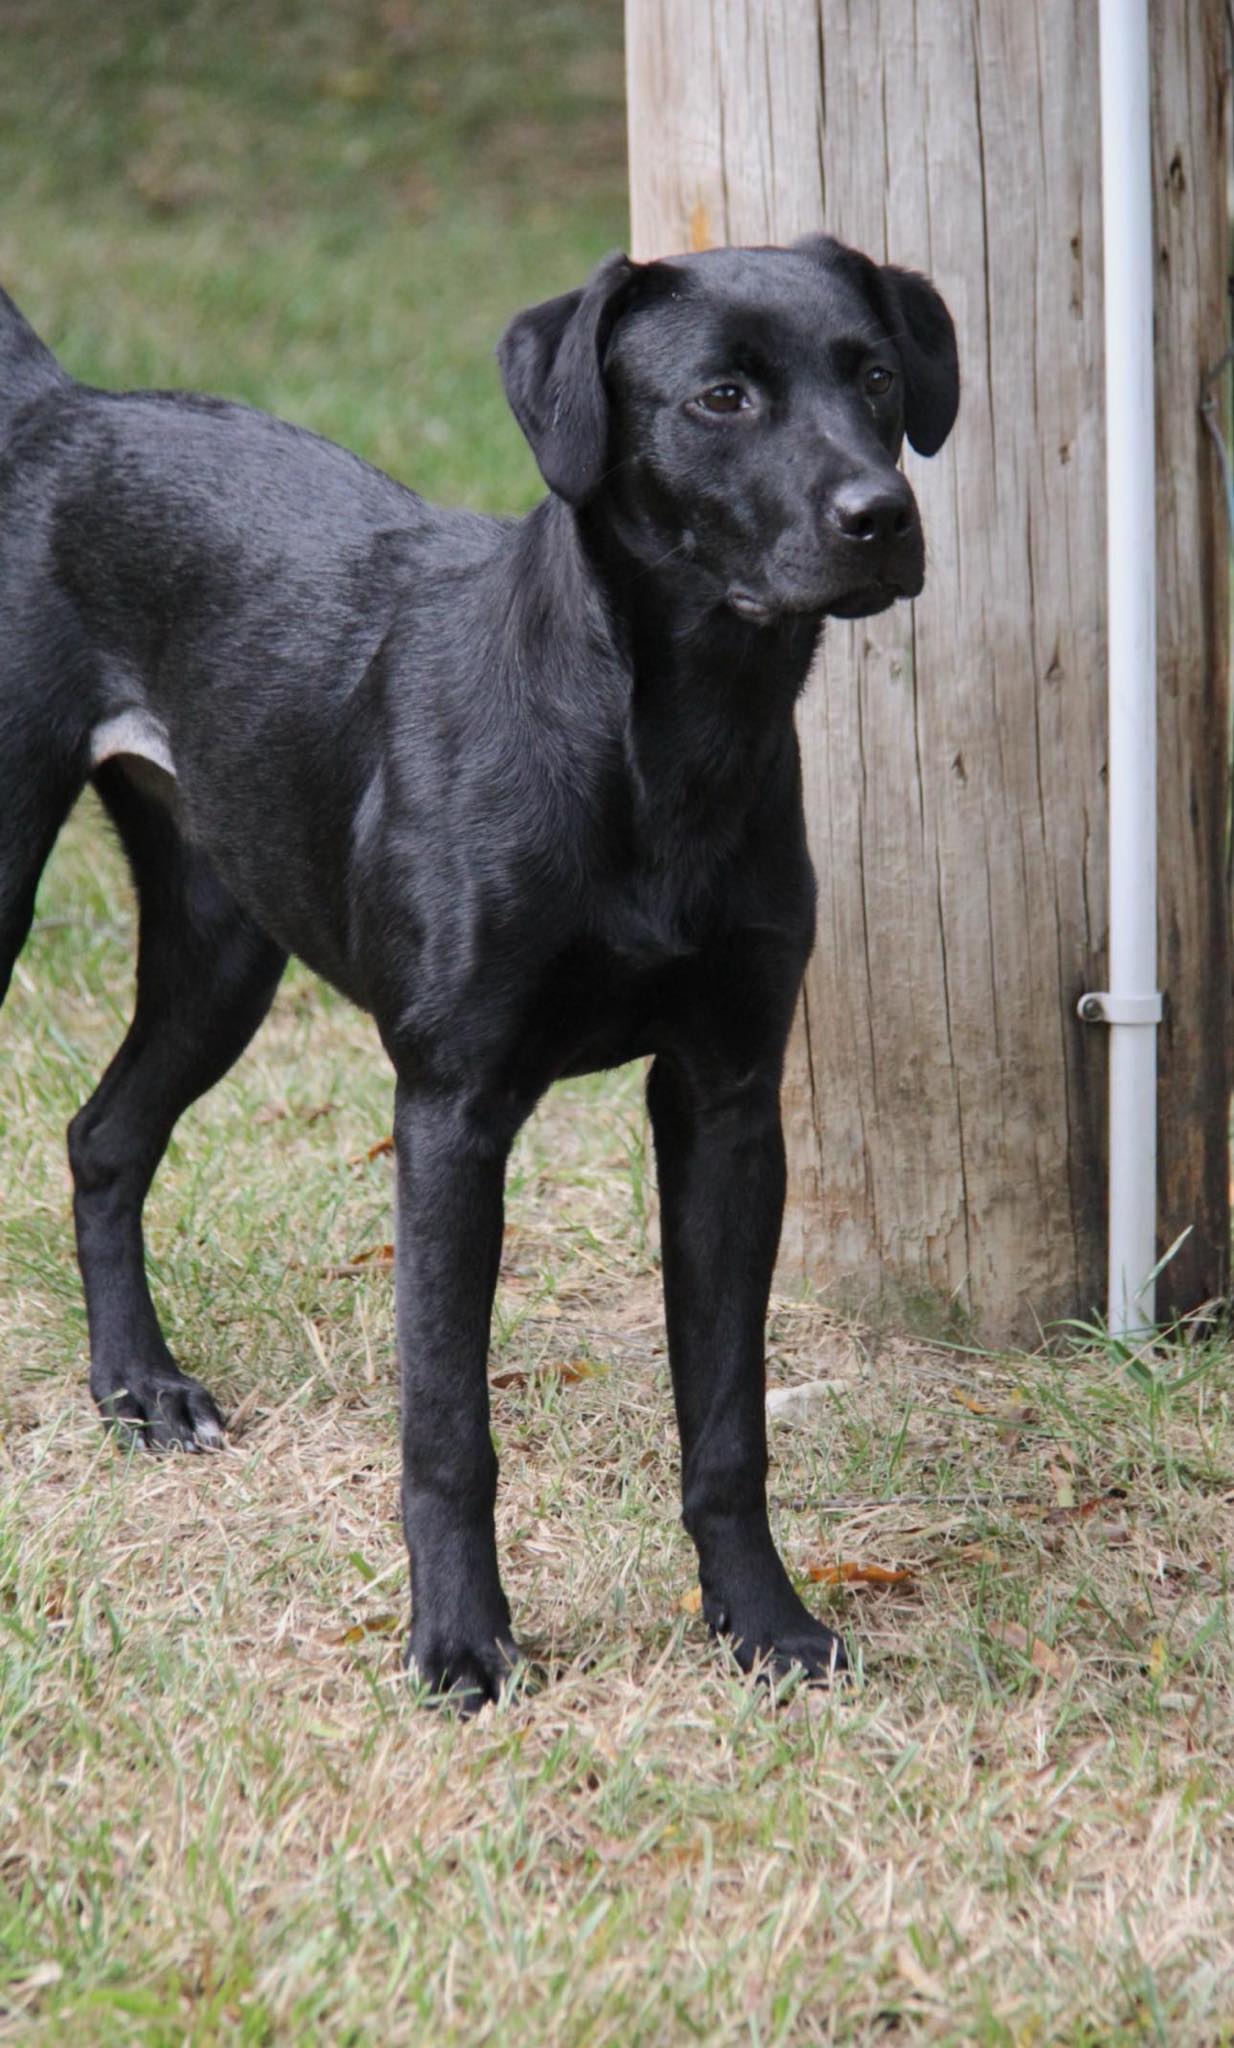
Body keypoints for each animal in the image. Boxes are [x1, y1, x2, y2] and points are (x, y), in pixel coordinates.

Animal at [0, 232, 961, 1703]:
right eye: (720, 396)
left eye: (872, 376)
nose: (881, 515)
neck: (664, 746)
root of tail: (59, 409)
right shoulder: (453, 1108)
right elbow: (448, 1426)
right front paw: (459, 1642)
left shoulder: (727, 1103)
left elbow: (728, 1422)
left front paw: (761, 1623)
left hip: (226, 946)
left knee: (104, 1137)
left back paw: (138, 1387)